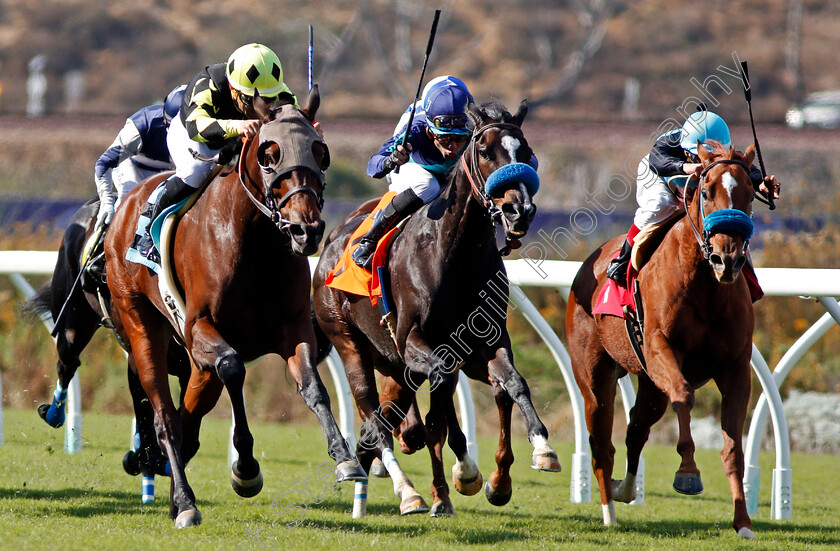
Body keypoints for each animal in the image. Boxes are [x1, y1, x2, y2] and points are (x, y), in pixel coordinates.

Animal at [102, 88, 364, 528]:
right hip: (141, 322)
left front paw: (345, 458)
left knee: (188, 416)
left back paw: (172, 488)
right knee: (165, 416)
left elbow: (313, 384)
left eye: (321, 153)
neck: (253, 241)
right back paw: (185, 503)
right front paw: (245, 469)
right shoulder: (200, 328)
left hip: (193, 363)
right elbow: (233, 368)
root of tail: (123, 208)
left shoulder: (293, 329)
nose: (306, 231)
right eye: (268, 154)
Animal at [312, 98, 560, 516]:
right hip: (349, 343)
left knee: (403, 415)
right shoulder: (414, 342)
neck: (454, 255)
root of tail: (331, 245)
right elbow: (438, 411)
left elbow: (512, 384)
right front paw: (460, 475)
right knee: (375, 415)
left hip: (398, 363)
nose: (519, 210)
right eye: (483, 151)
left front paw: (532, 456)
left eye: (525, 152)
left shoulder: (484, 342)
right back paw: (408, 489)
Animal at [568, 142, 756, 540]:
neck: (705, 287)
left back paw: (625, 490)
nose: (727, 260)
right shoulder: (660, 349)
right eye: (706, 192)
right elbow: (684, 395)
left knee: (637, 427)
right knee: (601, 442)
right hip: (595, 377)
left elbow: (734, 449)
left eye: (750, 194)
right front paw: (687, 473)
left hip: (651, 384)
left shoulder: (736, 368)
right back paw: (609, 511)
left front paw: (744, 523)